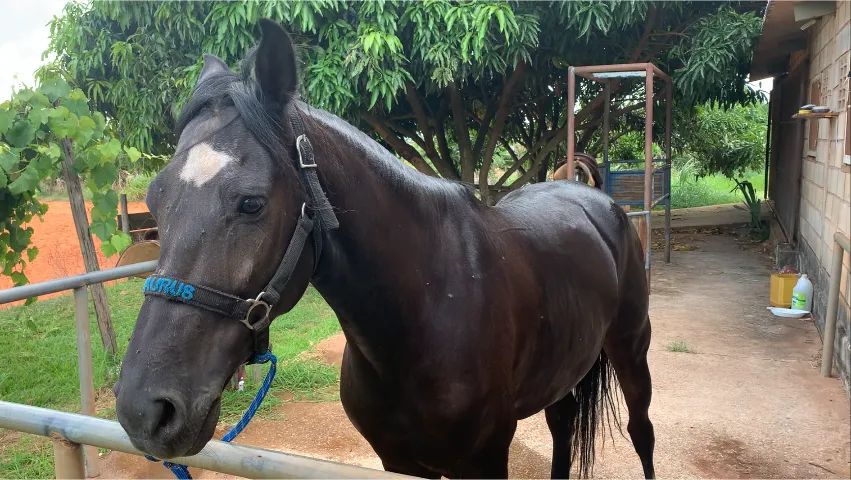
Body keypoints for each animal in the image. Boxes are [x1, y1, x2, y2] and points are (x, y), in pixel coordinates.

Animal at [114, 20, 655, 479]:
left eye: (252, 203)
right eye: (155, 201)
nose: (144, 411)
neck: (430, 309)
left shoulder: (484, 461)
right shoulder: (400, 462)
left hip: (631, 348)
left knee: (641, 432)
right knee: (563, 426)